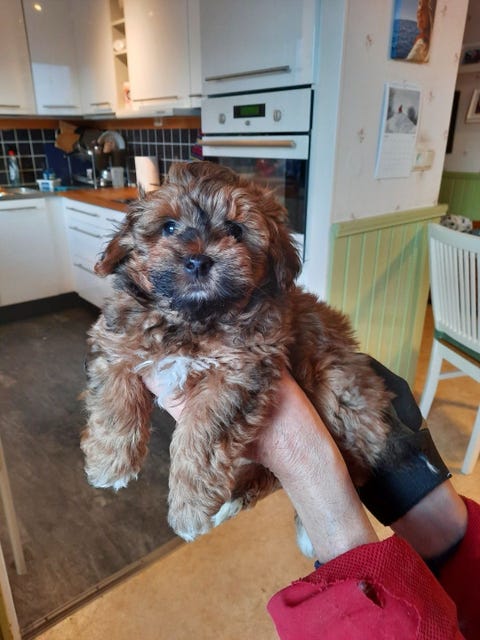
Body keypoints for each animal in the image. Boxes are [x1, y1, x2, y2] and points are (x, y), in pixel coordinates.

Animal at [81, 161, 397, 551]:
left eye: (235, 230)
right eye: (168, 227)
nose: (198, 261)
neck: (194, 318)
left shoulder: (239, 372)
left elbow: (200, 431)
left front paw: (189, 505)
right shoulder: (117, 340)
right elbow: (115, 394)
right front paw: (109, 461)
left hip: (339, 388)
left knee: (351, 464)